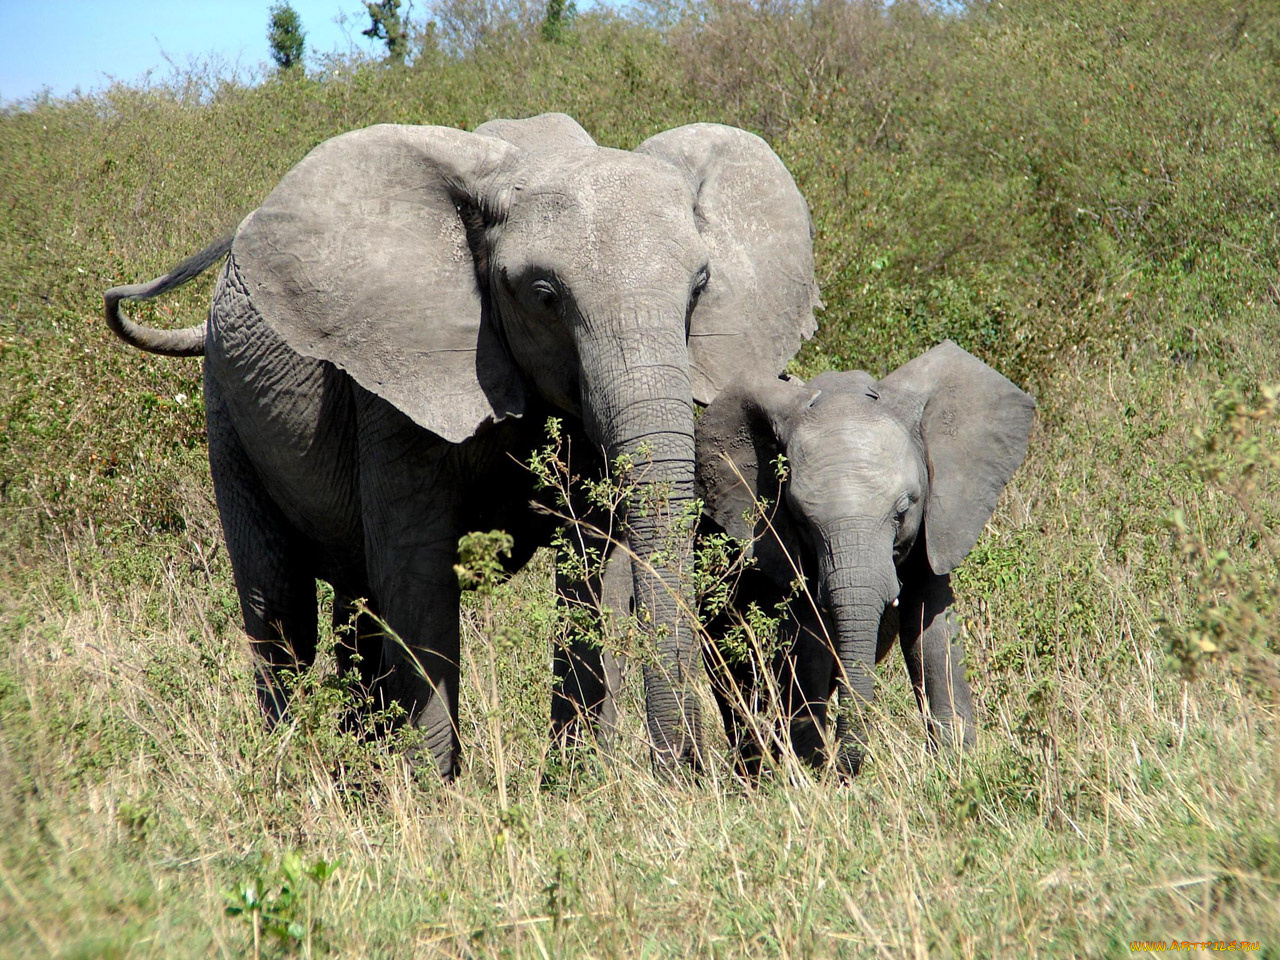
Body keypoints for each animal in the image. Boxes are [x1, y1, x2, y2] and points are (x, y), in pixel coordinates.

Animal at [102, 114, 819, 783]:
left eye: (700, 286)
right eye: (544, 296)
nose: (691, 771)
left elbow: (594, 564)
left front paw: (573, 787)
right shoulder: (394, 381)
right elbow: (418, 573)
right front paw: (435, 797)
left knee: (355, 604)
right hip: (225, 407)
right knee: (279, 605)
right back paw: (295, 770)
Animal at [696, 343, 1034, 778]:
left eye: (903, 510)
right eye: (801, 519)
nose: (843, 765)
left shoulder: (935, 523)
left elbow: (932, 630)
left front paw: (955, 766)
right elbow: (809, 644)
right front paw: (815, 772)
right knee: (736, 681)